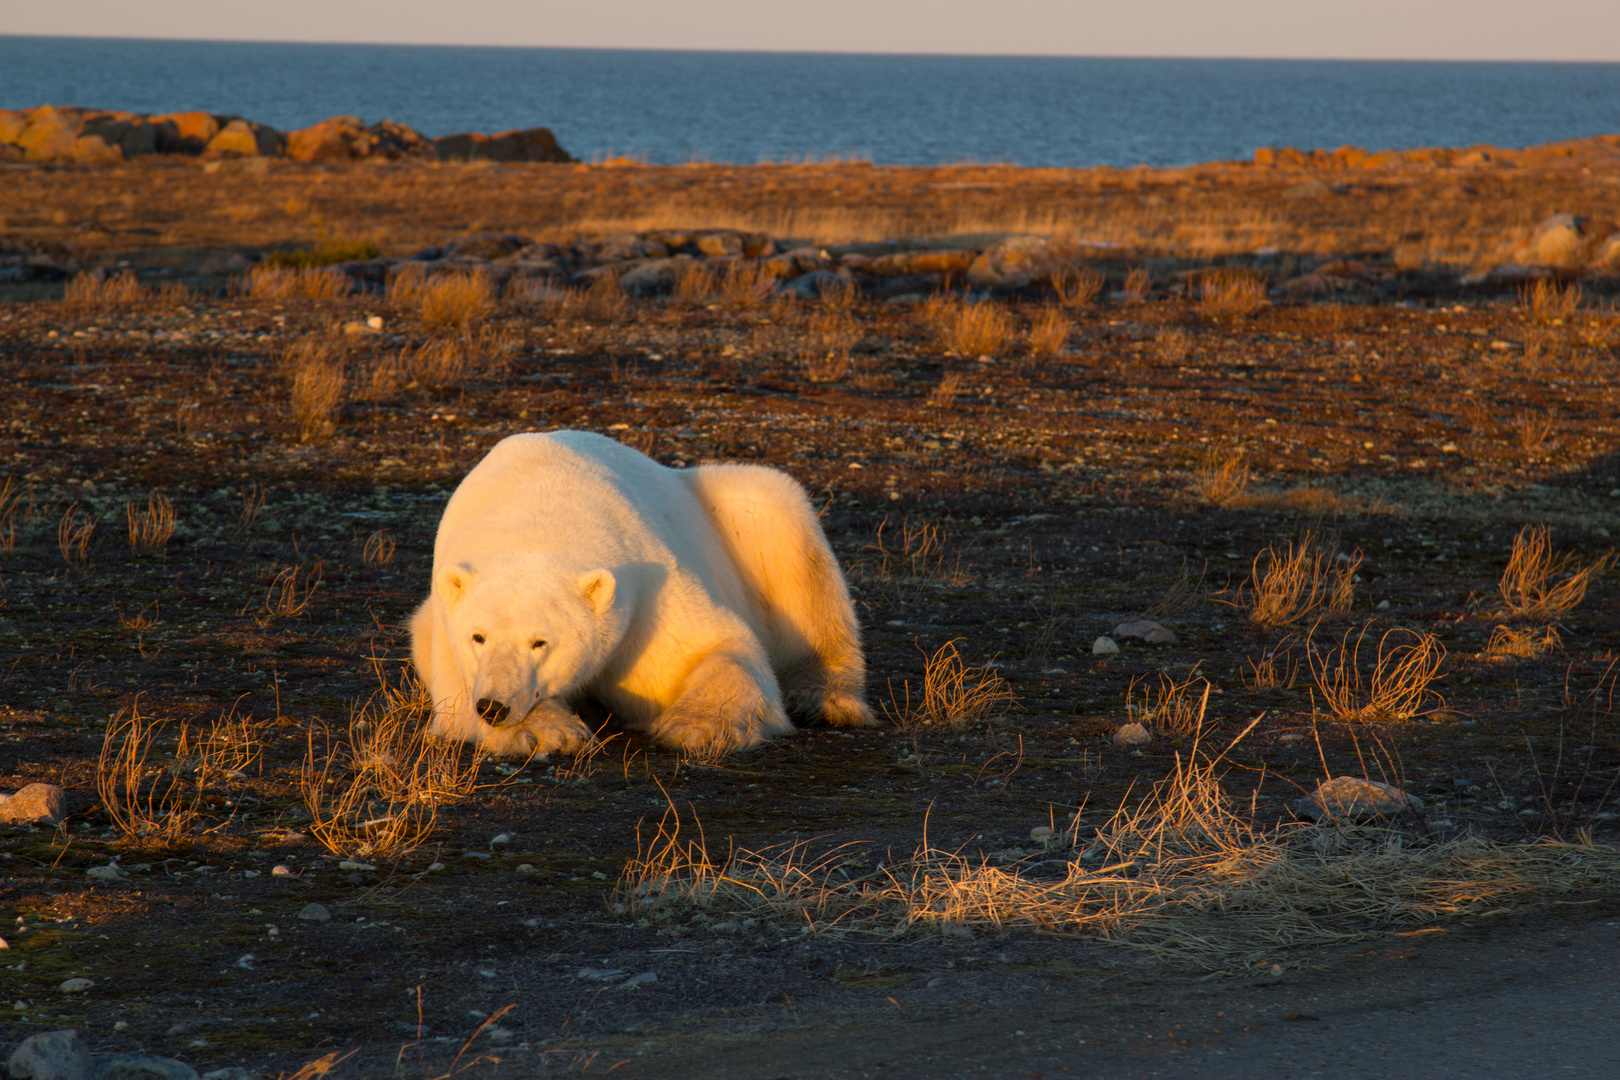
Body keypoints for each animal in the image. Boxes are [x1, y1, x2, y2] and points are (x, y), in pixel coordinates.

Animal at [411, 427, 881, 757]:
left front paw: (694, 725)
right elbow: (454, 692)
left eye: (539, 642)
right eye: (478, 637)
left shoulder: (649, 595)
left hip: (736, 514)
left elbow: (717, 647)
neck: (537, 513)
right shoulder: (444, 625)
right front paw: (546, 731)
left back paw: (824, 697)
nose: (494, 706)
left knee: (787, 537)